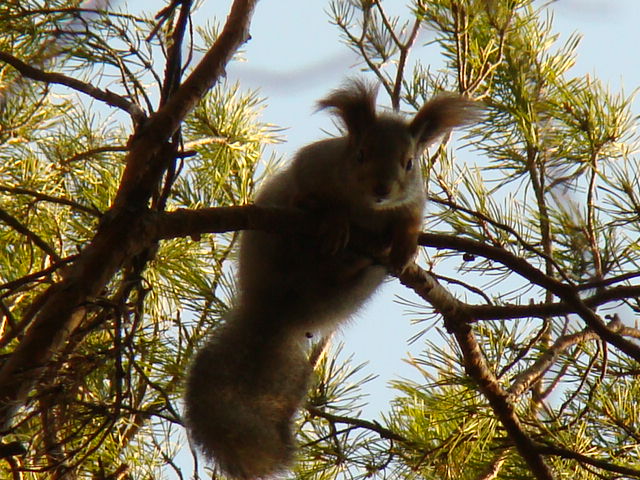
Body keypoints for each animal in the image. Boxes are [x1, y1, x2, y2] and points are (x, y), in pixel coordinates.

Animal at [184, 79, 480, 479]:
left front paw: (405, 246)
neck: (366, 208)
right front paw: (335, 219)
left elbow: (410, 221)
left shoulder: (413, 201)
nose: (382, 189)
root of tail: (275, 312)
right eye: (360, 154)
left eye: (410, 163)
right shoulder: (312, 165)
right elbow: (312, 194)